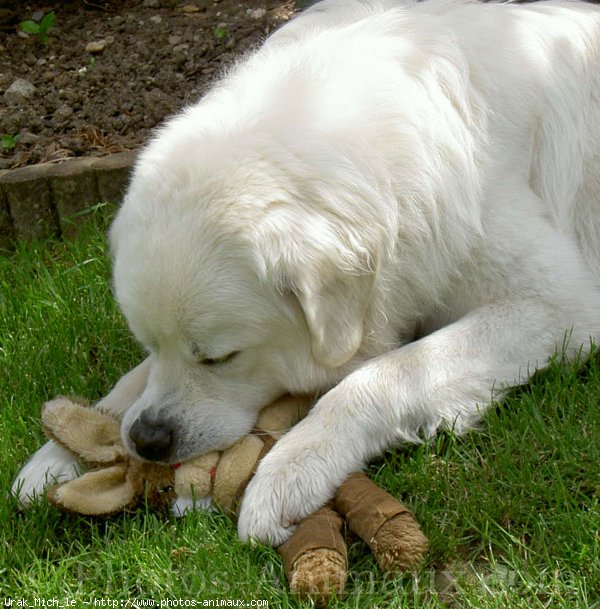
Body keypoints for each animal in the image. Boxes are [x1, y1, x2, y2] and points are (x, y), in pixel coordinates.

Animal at [12, 0, 600, 544]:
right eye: (150, 343)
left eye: (220, 358)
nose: (147, 441)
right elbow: (131, 381)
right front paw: (60, 452)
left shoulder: (560, 307)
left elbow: (382, 376)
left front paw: (291, 471)